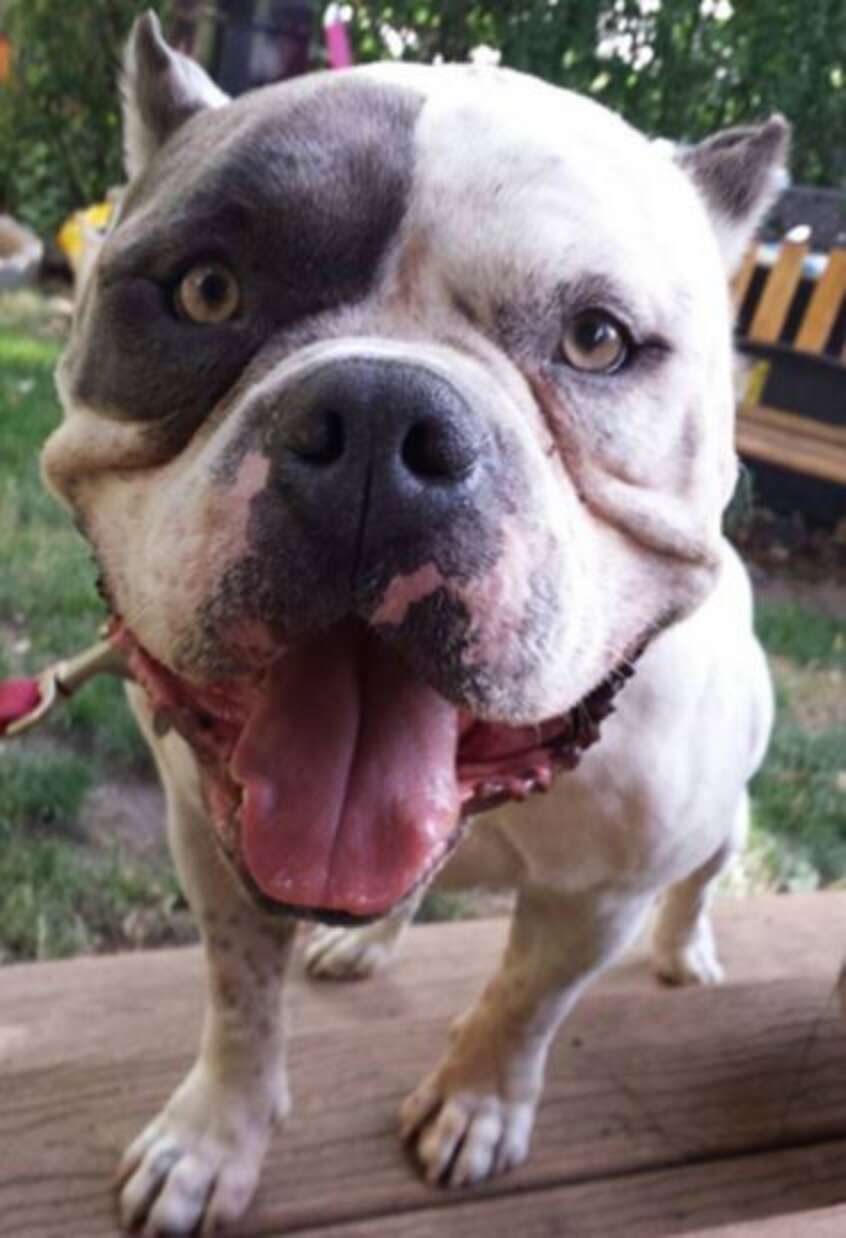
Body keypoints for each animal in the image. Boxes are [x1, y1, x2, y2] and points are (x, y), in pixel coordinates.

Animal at [39, 12, 782, 1238]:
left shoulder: (601, 894)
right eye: (206, 291)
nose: (381, 422)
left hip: (723, 821)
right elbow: (239, 999)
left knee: (704, 879)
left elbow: (525, 1001)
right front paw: (213, 1140)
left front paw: (477, 1102)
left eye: (597, 341)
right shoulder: (212, 842)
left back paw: (690, 950)